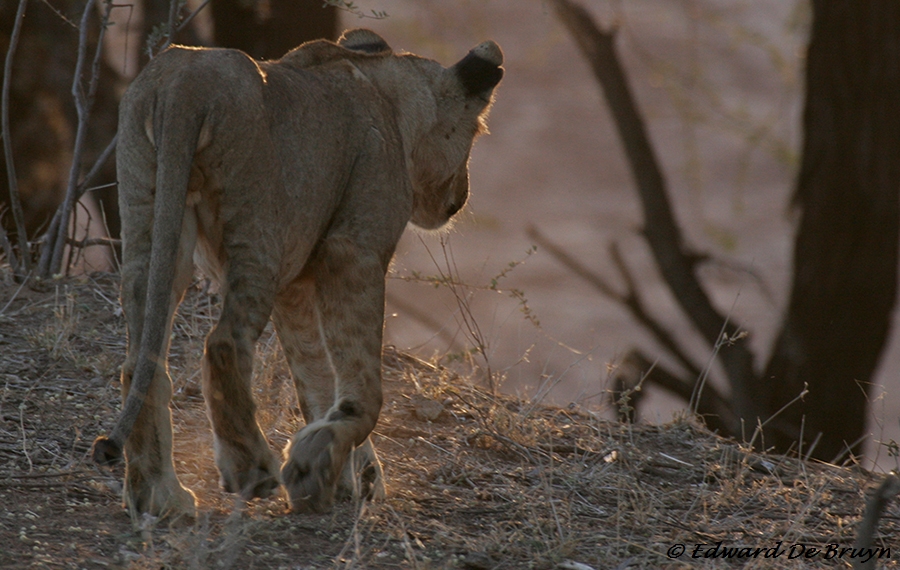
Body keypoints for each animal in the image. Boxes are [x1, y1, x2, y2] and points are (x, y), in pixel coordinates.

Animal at [93, 27, 506, 516]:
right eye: (477, 131)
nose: (460, 198)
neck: (383, 86)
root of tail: (185, 81)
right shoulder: (354, 251)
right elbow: (363, 387)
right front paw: (322, 469)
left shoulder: (296, 284)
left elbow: (318, 377)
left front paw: (333, 472)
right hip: (259, 228)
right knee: (224, 343)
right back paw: (250, 467)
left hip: (150, 212)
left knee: (142, 358)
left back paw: (158, 494)